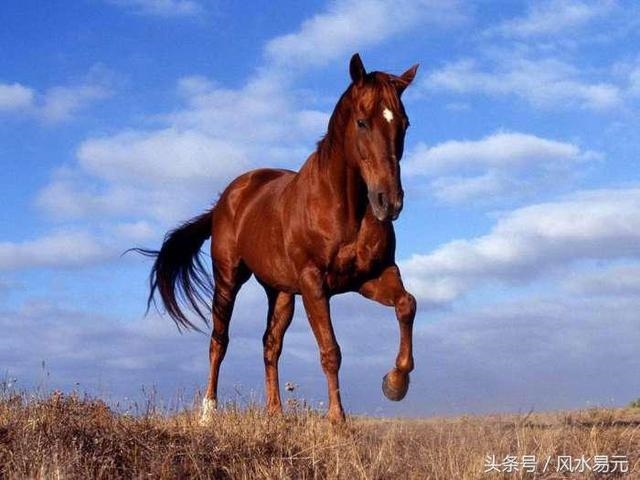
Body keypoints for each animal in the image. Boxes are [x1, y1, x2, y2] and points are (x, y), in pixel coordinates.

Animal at [137, 53, 418, 424]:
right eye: (362, 122)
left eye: (404, 124)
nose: (390, 202)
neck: (344, 208)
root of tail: (225, 200)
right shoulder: (315, 283)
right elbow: (331, 350)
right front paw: (337, 421)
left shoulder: (372, 277)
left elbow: (407, 305)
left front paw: (395, 383)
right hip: (228, 279)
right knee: (219, 341)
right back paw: (209, 412)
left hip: (281, 292)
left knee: (270, 344)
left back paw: (275, 413)